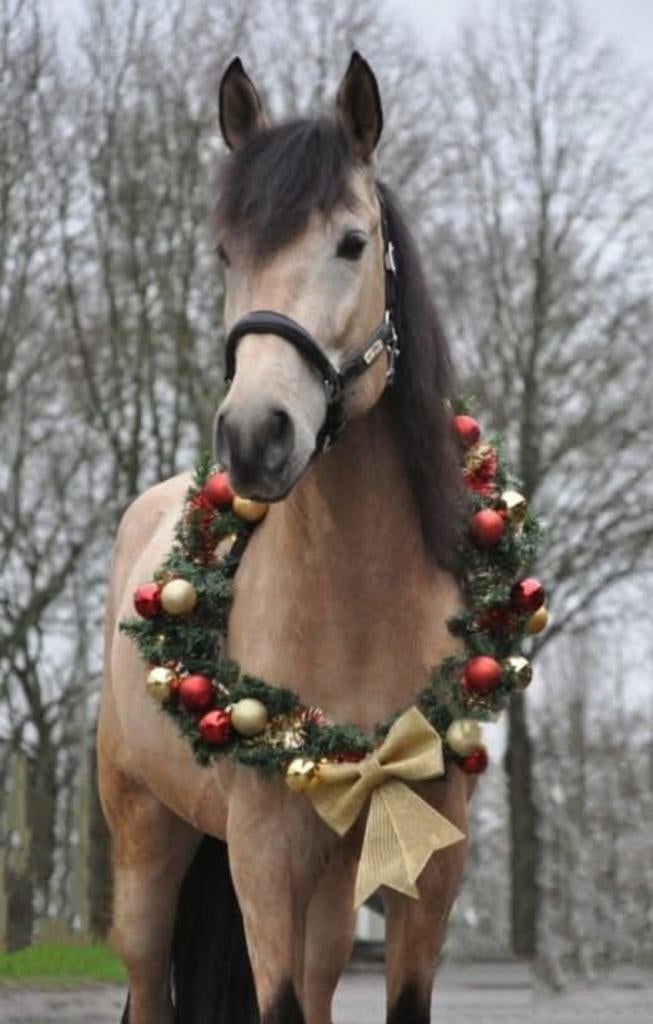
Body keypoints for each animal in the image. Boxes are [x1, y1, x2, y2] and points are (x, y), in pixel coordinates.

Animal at [99, 52, 472, 1024]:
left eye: (350, 242)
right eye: (227, 251)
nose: (254, 436)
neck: (357, 607)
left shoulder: (429, 858)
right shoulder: (263, 856)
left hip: (334, 883)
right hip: (147, 849)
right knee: (148, 983)